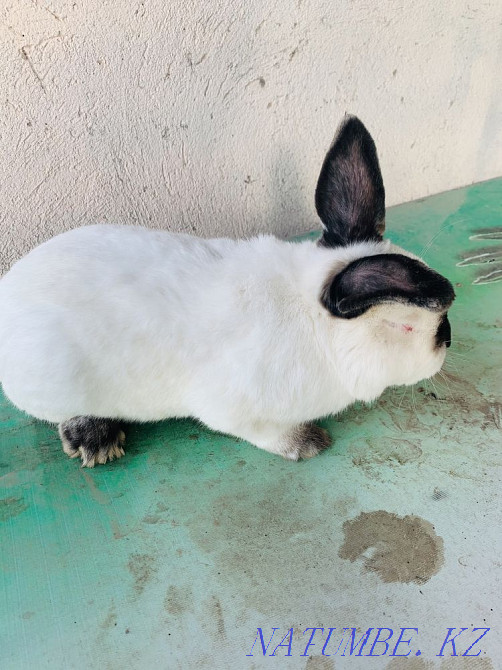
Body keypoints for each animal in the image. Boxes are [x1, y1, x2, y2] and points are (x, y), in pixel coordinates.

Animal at [0, 115, 454, 467]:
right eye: (403, 327)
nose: (447, 339)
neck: (313, 321)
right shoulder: (234, 410)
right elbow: (263, 432)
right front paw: (309, 443)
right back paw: (95, 440)